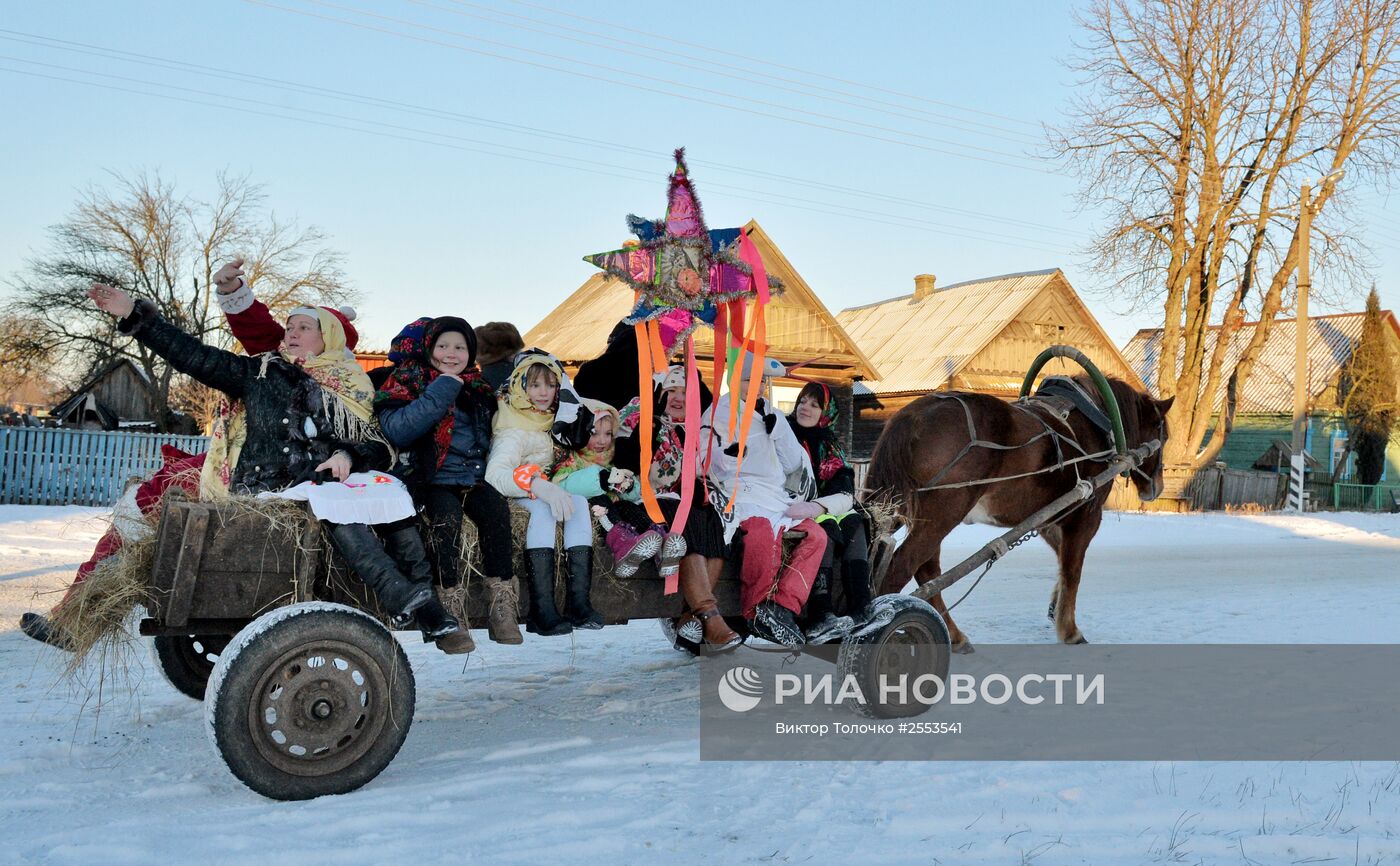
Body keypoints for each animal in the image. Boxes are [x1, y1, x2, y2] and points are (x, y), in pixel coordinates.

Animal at [862, 374, 1170, 654]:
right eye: (1161, 431)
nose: (1156, 487)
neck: (1096, 421)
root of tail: (914, 417)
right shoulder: (1085, 514)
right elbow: (1072, 570)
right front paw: (1070, 630)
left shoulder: (1050, 517)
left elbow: (1061, 560)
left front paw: (1054, 606)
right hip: (943, 513)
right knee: (903, 568)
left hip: (901, 509)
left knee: (923, 569)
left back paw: (955, 635)